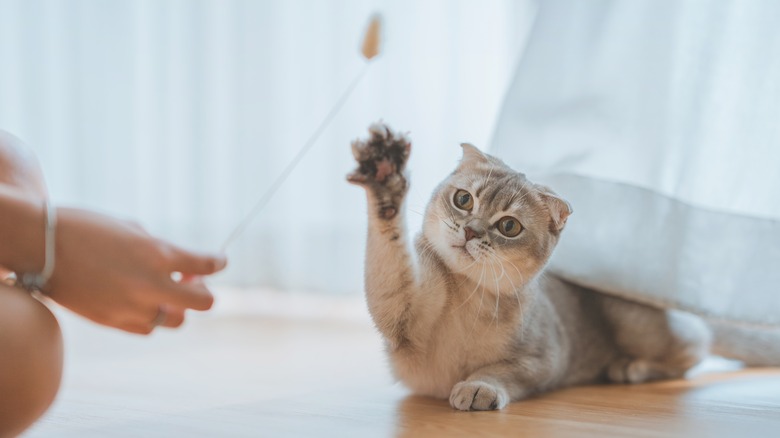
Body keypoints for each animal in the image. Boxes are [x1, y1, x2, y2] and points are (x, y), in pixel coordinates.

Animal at [348, 122, 780, 410]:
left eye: (508, 226)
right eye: (463, 200)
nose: (470, 231)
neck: (468, 295)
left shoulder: (545, 360)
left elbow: (503, 372)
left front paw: (478, 386)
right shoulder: (401, 310)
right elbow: (390, 253)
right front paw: (385, 179)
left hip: (637, 325)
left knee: (695, 351)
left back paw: (631, 368)